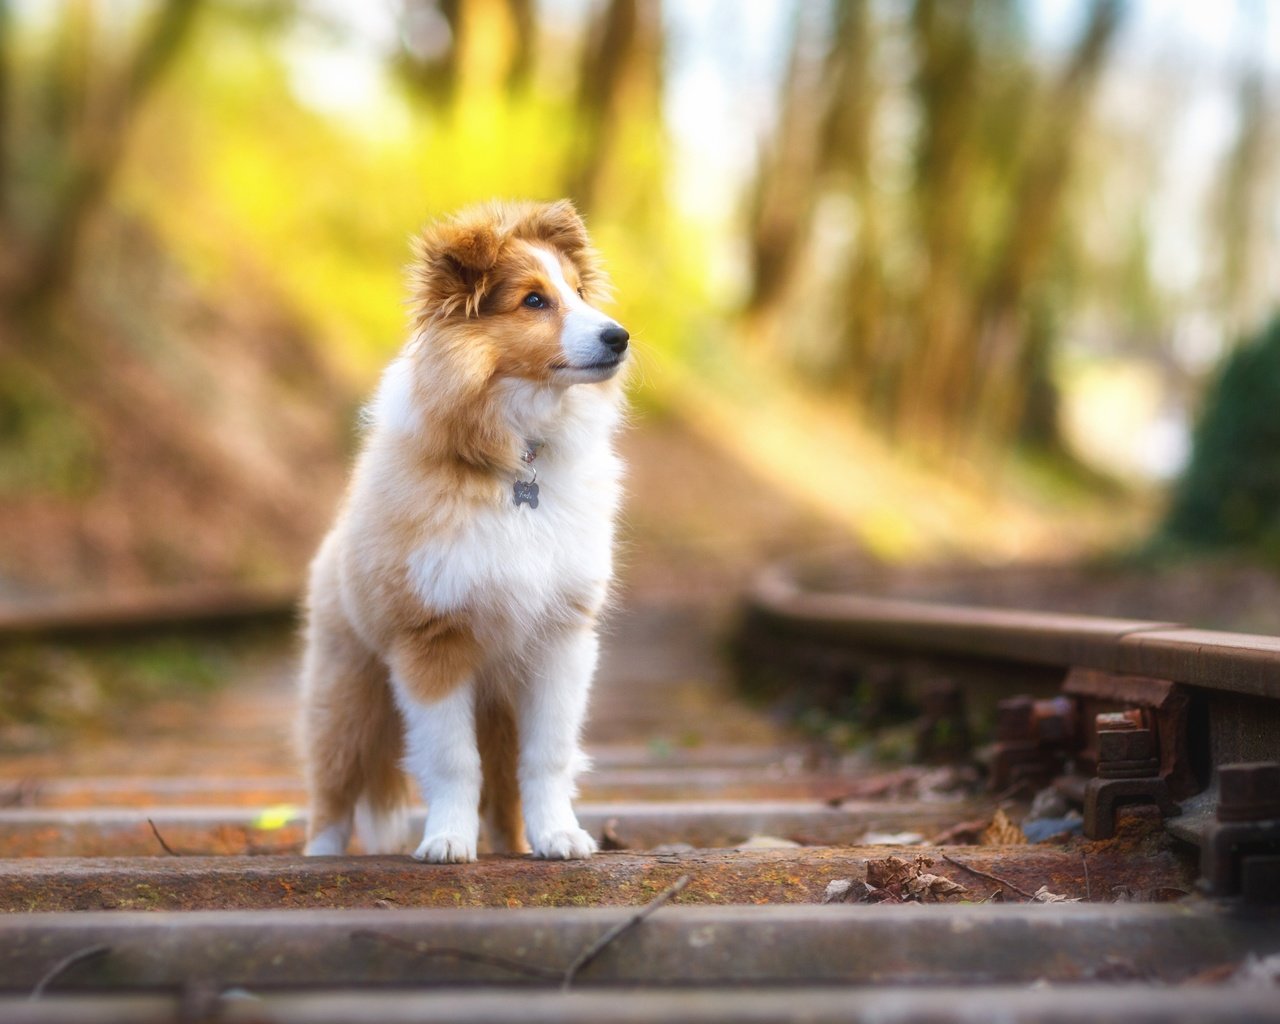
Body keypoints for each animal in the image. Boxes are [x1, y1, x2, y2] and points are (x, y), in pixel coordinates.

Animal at [294, 195, 624, 860]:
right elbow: (451, 761)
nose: (620, 337)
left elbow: (548, 757)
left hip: (496, 712)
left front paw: (560, 834)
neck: (516, 464)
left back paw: (521, 843)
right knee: (332, 791)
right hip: (346, 697)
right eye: (534, 300)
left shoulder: (560, 641)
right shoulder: (432, 641)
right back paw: (321, 856)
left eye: (578, 291)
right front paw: (446, 840)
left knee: (505, 796)